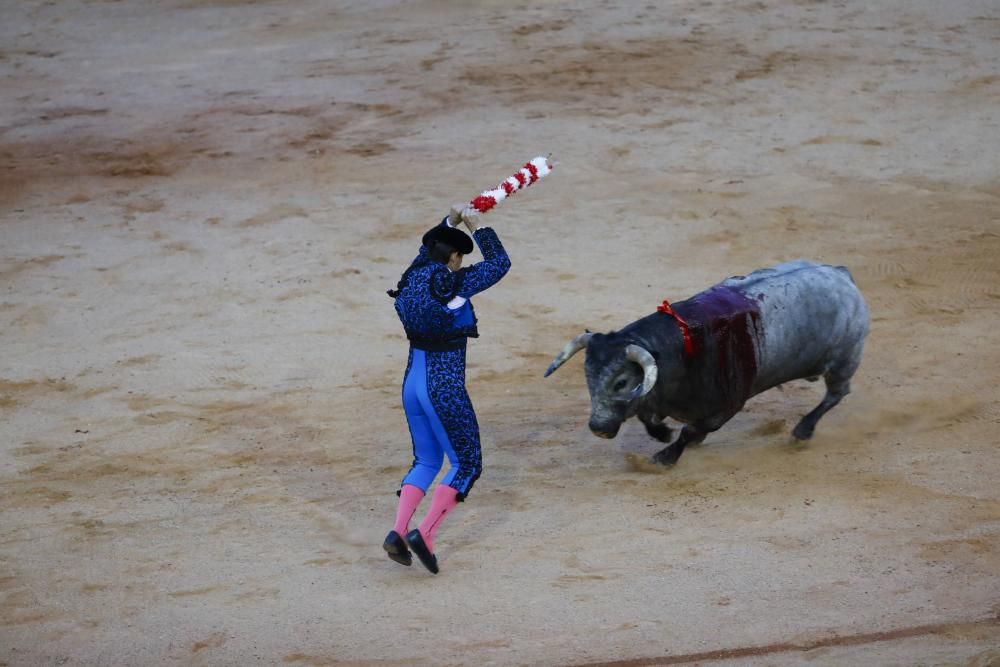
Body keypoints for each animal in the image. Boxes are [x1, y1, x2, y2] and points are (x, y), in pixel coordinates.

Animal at [548, 260, 868, 464]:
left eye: (621, 382)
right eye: (588, 376)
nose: (597, 427)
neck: (679, 355)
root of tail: (842, 276)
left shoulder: (725, 408)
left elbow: (690, 431)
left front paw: (665, 457)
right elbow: (648, 416)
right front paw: (663, 434)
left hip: (843, 362)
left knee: (837, 394)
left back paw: (802, 431)